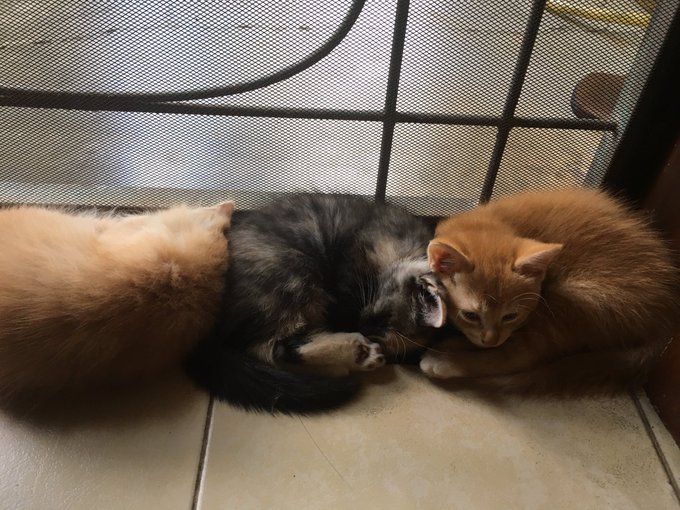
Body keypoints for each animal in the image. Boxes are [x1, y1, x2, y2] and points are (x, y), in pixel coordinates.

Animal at [184, 194, 446, 414]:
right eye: (383, 315)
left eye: (381, 332)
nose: (362, 327)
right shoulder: (356, 254)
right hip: (292, 273)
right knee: (269, 349)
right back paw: (356, 353)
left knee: (279, 348)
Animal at [421, 188, 679, 395]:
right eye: (471, 315)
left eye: (511, 316)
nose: (490, 339)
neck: (492, 222)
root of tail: (666, 320)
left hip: (577, 300)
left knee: (522, 355)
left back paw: (448, 361)